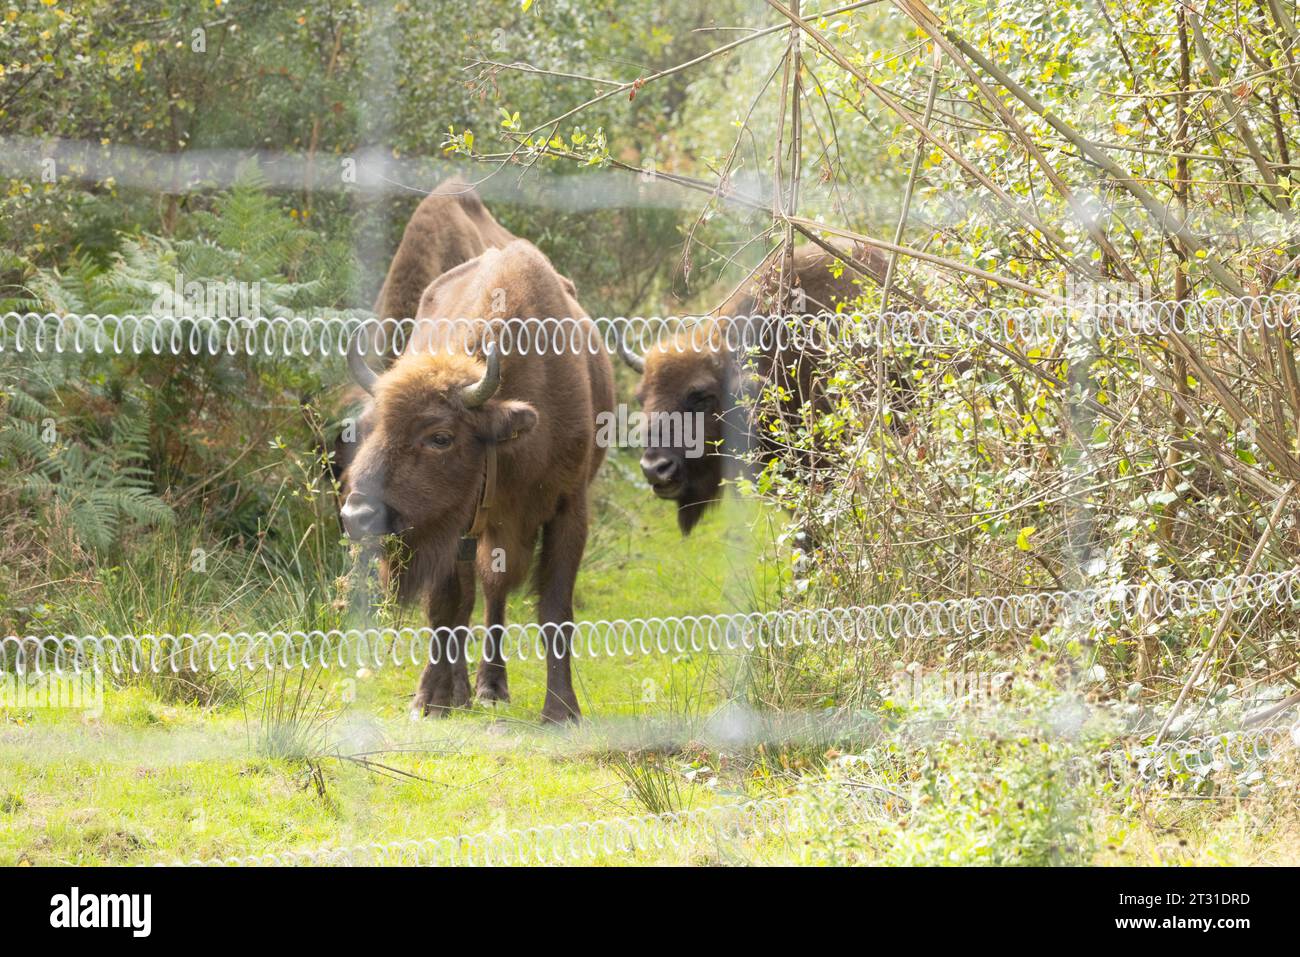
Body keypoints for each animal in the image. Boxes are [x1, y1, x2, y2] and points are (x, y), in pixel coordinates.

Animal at [340, 240, 613, 722]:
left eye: (440, 437)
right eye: (368, 427)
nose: (358, 515)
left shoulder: (569, 510)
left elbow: (555, 610)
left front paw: (562, 711)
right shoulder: (451, 527)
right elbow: (445, 606)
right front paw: (429, 701)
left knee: (493, 593)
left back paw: (489, 688)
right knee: (468, 599)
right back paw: (464, 693)